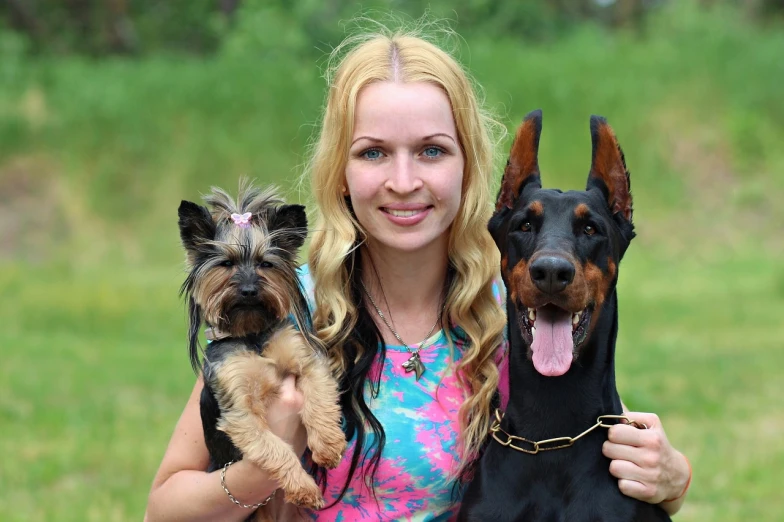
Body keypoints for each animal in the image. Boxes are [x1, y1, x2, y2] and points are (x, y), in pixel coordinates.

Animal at [179, 182, 348, 512]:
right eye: (226, 264)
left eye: (265, 264)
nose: (248, 290)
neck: (251, 335)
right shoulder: (239, 411)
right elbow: (275, 448)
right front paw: (303, 488)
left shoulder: (307, 360)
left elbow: (319, 400)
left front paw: (328, 445)